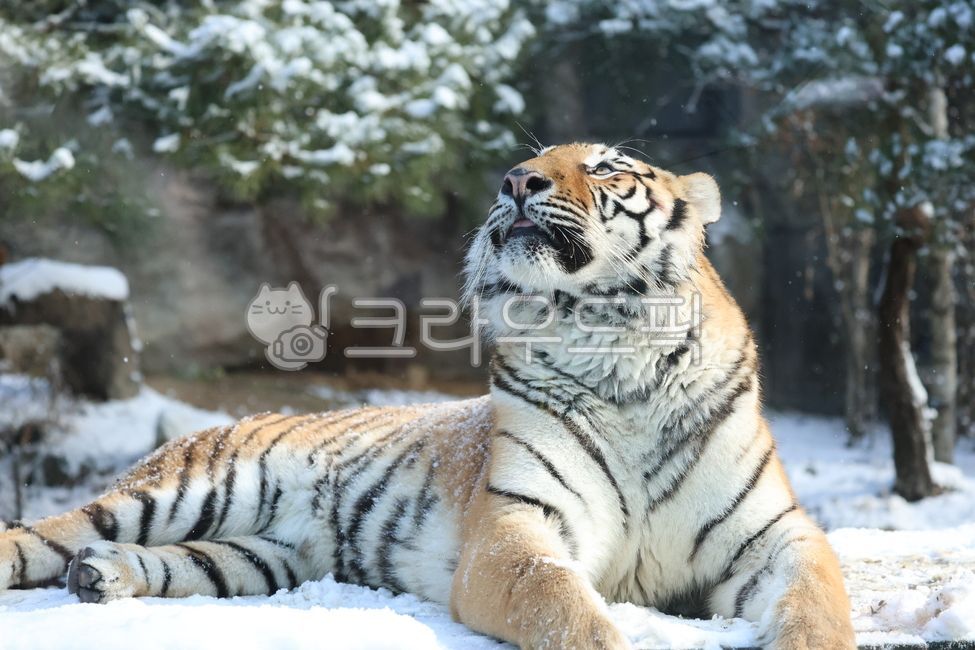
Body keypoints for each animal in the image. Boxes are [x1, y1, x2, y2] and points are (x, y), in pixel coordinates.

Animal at [0, 143, 855, 650]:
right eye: (531, 159)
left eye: (606, 167)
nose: (516, 181)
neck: (617, 352)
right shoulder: (514, 527)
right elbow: (561, 601)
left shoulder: (774, 535)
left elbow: (816, 603)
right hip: (182, 489)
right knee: (44, 533)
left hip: (255, 555)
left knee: (169, 560)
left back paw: (102, 577)